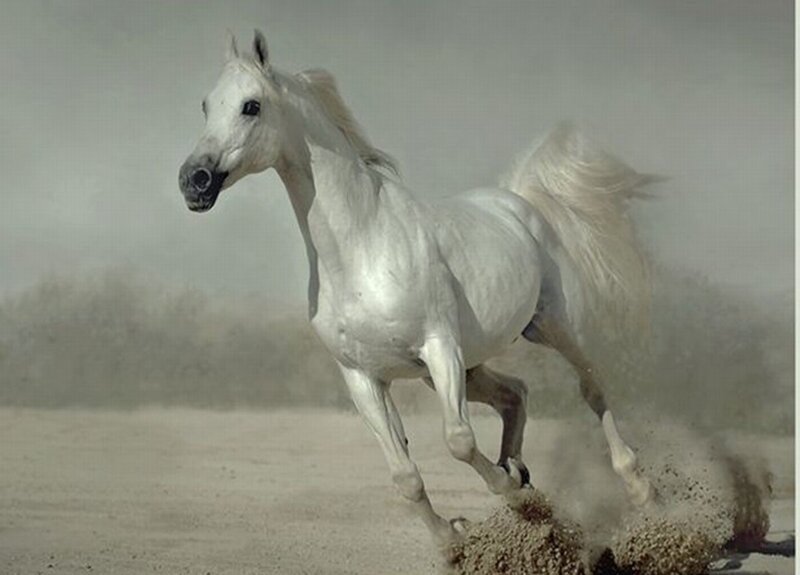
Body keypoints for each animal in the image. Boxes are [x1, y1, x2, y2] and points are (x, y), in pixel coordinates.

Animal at [178, 30, 655, 547]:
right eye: (206, 105)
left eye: (251, 106)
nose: (193, 181)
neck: (363, 249)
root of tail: (515, 200)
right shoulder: (363, 377)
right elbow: (404, 475)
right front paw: (454, 538)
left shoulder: (439, 347)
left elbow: (458, 441)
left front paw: (509, 494)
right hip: (465, 365)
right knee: (517, 393)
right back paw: (521, 473)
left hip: (550, 325)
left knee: (592, 386)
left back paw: (637, 487)